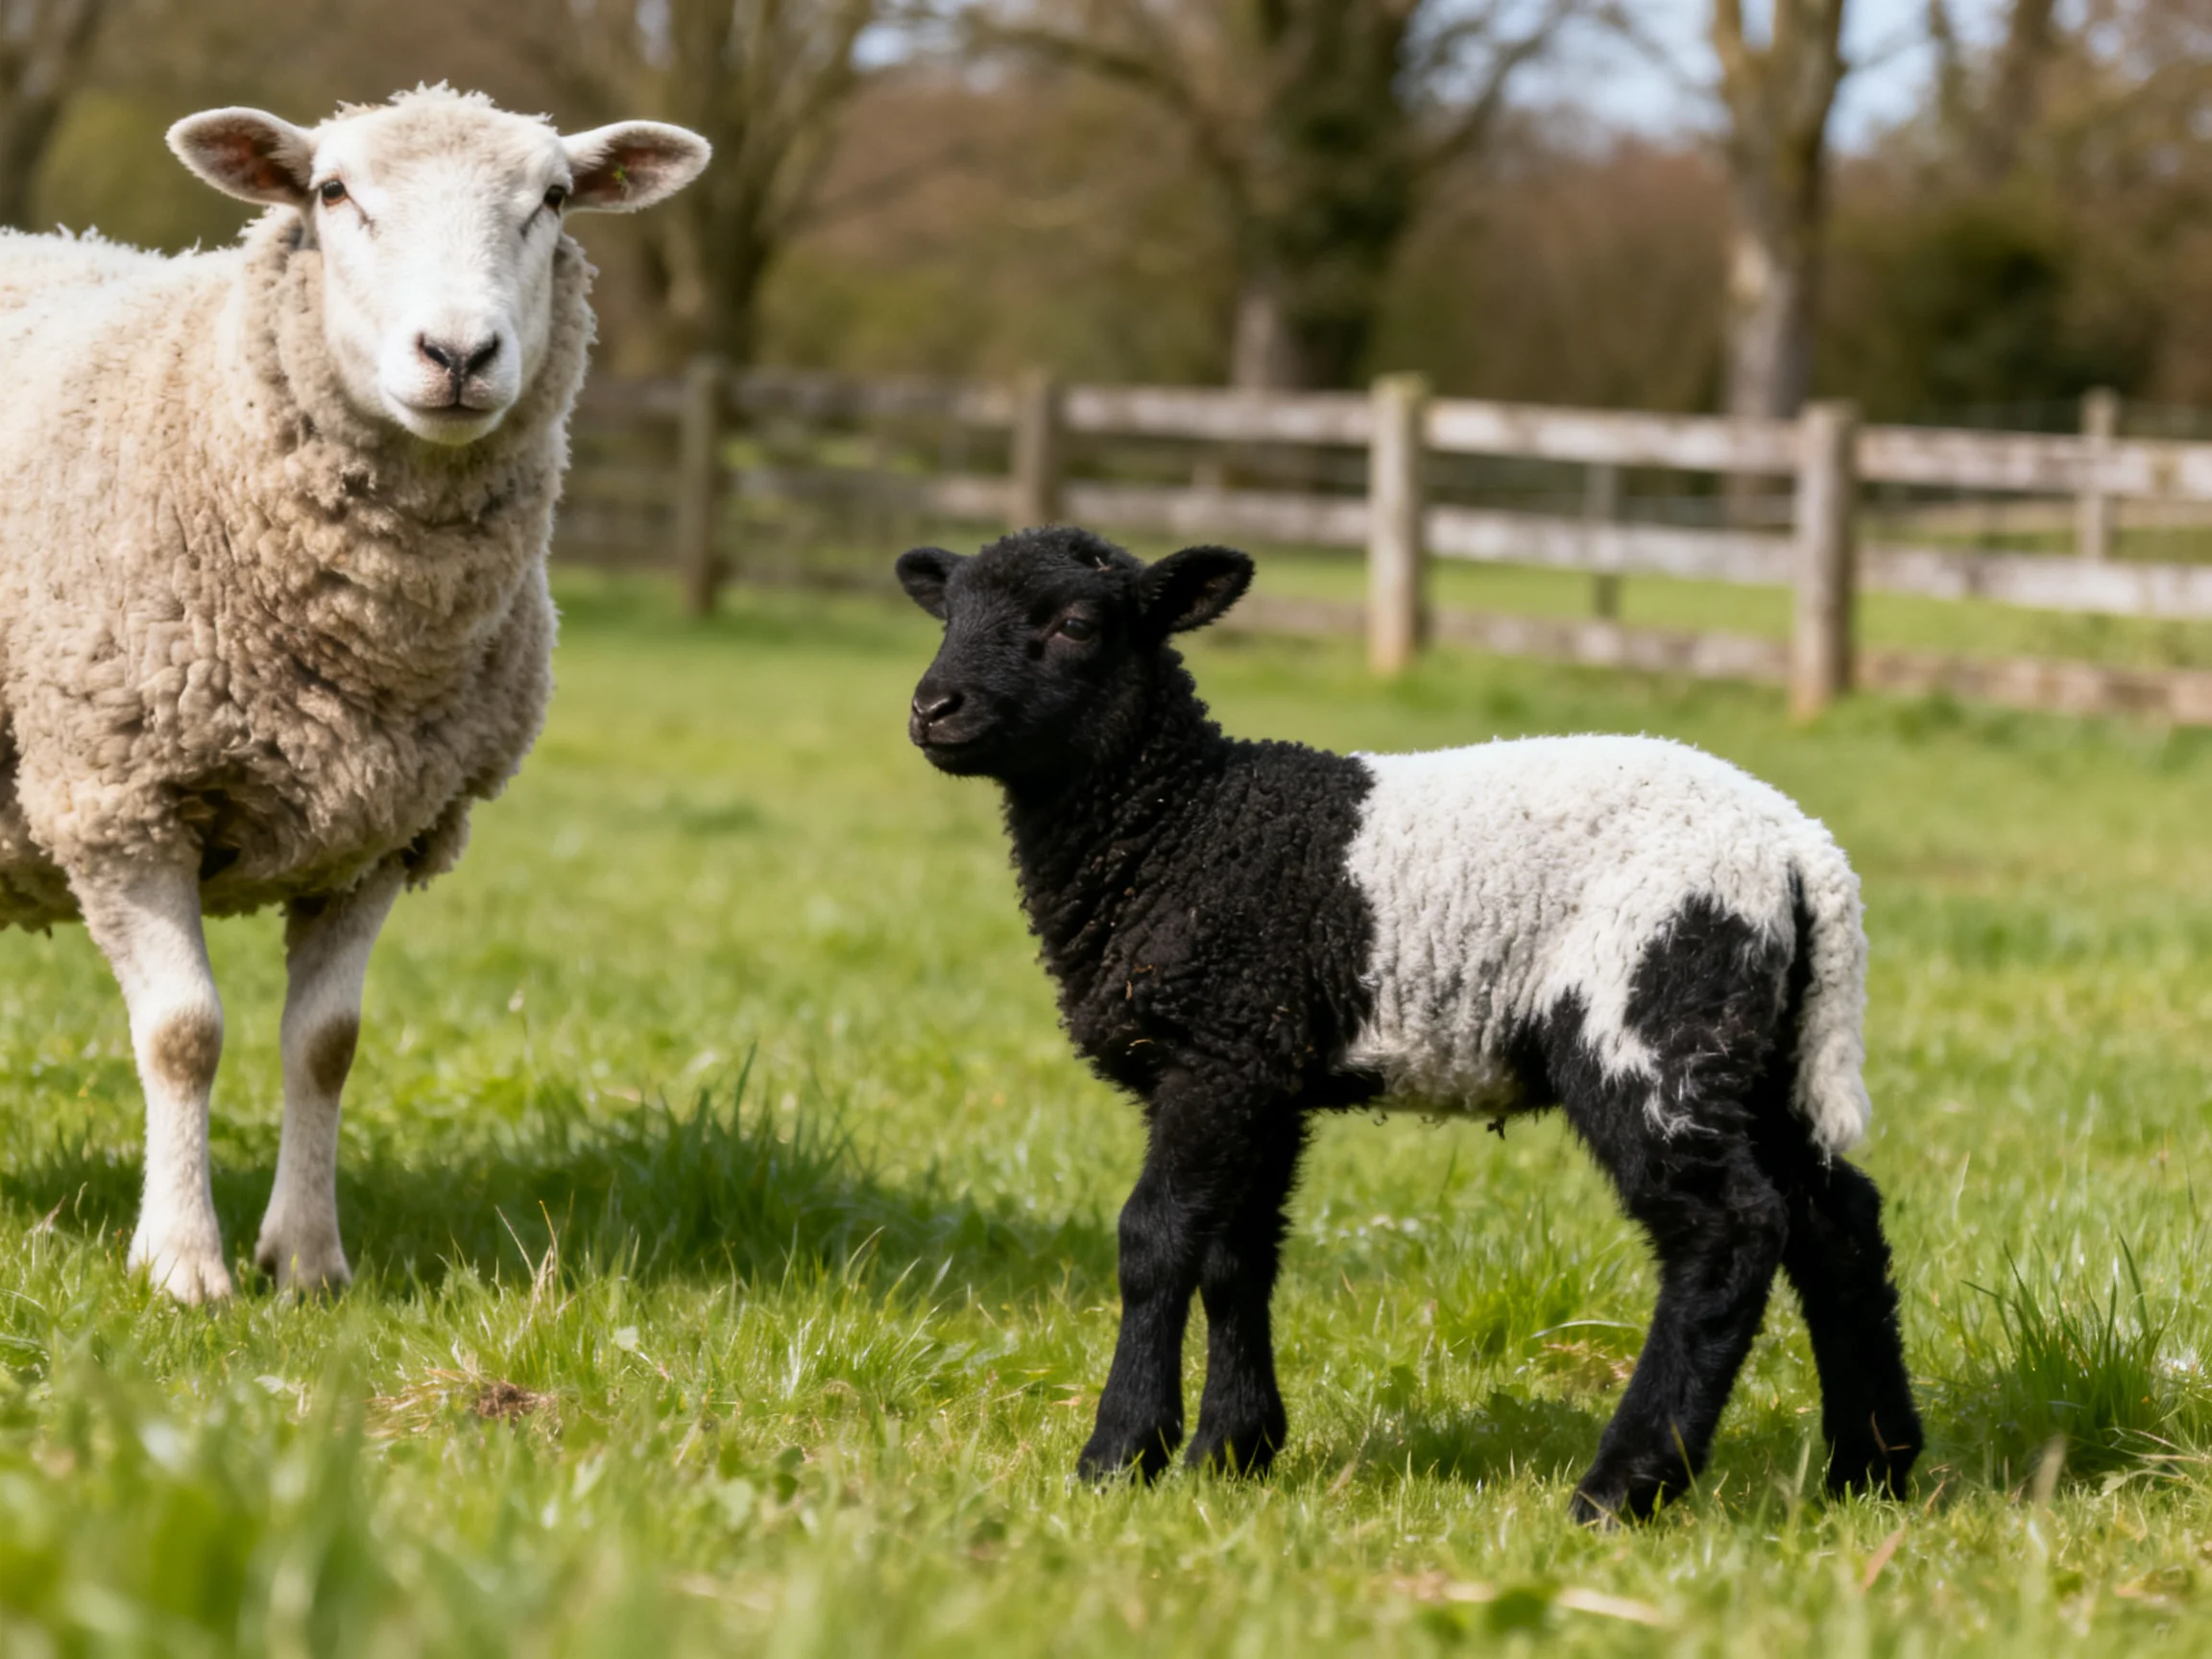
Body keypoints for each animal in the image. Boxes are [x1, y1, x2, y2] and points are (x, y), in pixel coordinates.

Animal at [0, 88, 708, 1302]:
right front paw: (183, 1263)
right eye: (333, 193)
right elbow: (183, 1033)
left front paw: (307, 1260)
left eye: (555, 198)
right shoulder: (115, 798)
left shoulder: (384, 828)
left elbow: (326, 1045)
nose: (459, 352)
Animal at [895, 525, 1921, 1524]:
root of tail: (1798, 851)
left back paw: (1623, 1489)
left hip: (1649, 1016)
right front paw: (1233, 1451)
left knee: (1729, 1231)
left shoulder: (1216, 1052)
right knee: (1835, 1220)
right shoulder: (1260, 1065)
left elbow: (1155, 1242)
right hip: (1755, 1044)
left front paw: (1120, 1456)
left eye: (1076, 624)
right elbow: (1238, 1252)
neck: (1182, 825)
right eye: (948, 613)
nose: (932, 709)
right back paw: (1871, 1472)